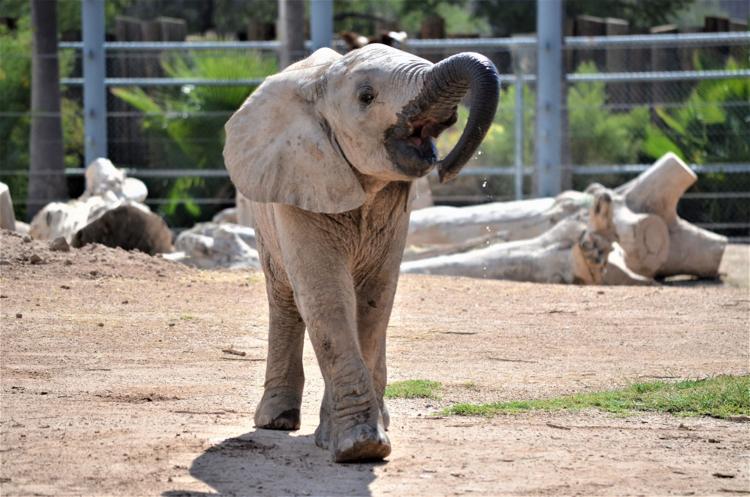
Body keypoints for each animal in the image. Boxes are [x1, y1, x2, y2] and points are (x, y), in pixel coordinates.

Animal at [226, 43, 502, 462]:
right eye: (366, 97)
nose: (445, 170)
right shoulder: (301, 179)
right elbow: (326, 297)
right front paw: (360, 447)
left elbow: (374, 300)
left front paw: (345, 439)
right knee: (285, 297)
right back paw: (276, 422)